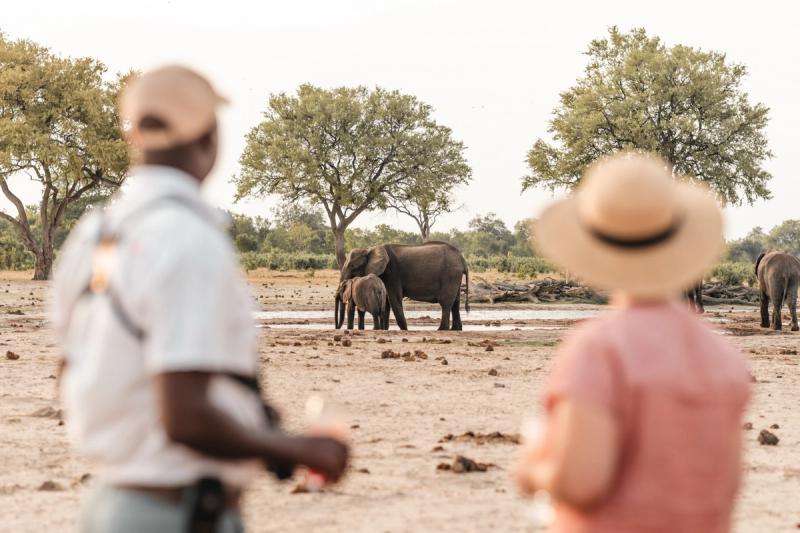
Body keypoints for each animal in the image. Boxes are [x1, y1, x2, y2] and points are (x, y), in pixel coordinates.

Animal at [339, 242, 470, 331]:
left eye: (353, 267)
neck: (370, 248)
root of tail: (462, 258)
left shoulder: (392, 273)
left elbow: (394, 300)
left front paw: (404, 329)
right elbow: (386, 302)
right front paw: (384, 329)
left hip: (450, 275)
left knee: (446, 303)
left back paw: (441, 329)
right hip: (455, 278)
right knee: (455, 302)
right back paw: (456, 329)